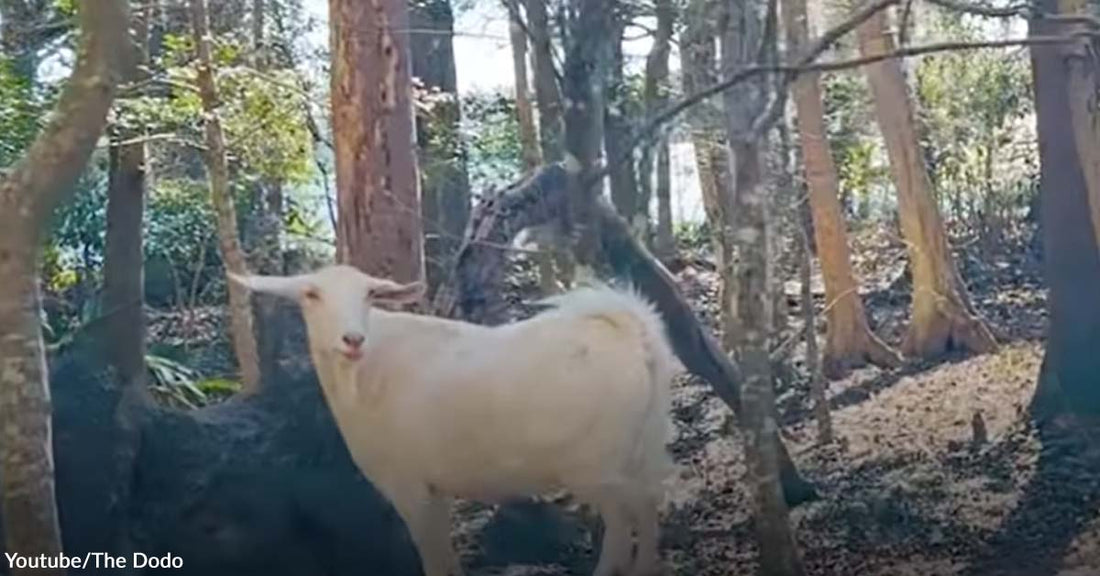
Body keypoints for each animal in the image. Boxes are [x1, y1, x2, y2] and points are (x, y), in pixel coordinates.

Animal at [232, 266, 677, 576]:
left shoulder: (407, 484)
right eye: (311, 293)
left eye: (370, 294)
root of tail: (630, 330)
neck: (364, 375)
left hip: (596, 464)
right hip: (642, 443)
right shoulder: (435, 487)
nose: (352, 339)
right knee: (648, 502)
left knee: (623, 520)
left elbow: (433, 556)